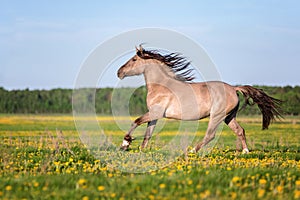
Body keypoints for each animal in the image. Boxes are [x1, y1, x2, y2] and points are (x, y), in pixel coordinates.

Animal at [116, 45, 282, 153]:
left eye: (134, 59)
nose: (119, 72)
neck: (162, 86)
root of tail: (234, 89)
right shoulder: (155, 115)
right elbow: (148, 133)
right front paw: (142, 150)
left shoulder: (155, 113)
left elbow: (136, 121)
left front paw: (125, 143)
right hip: (229, 117)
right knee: (240, 130)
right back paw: (245, 151)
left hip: (217, 116)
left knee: (210, 135)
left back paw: (192, 151)